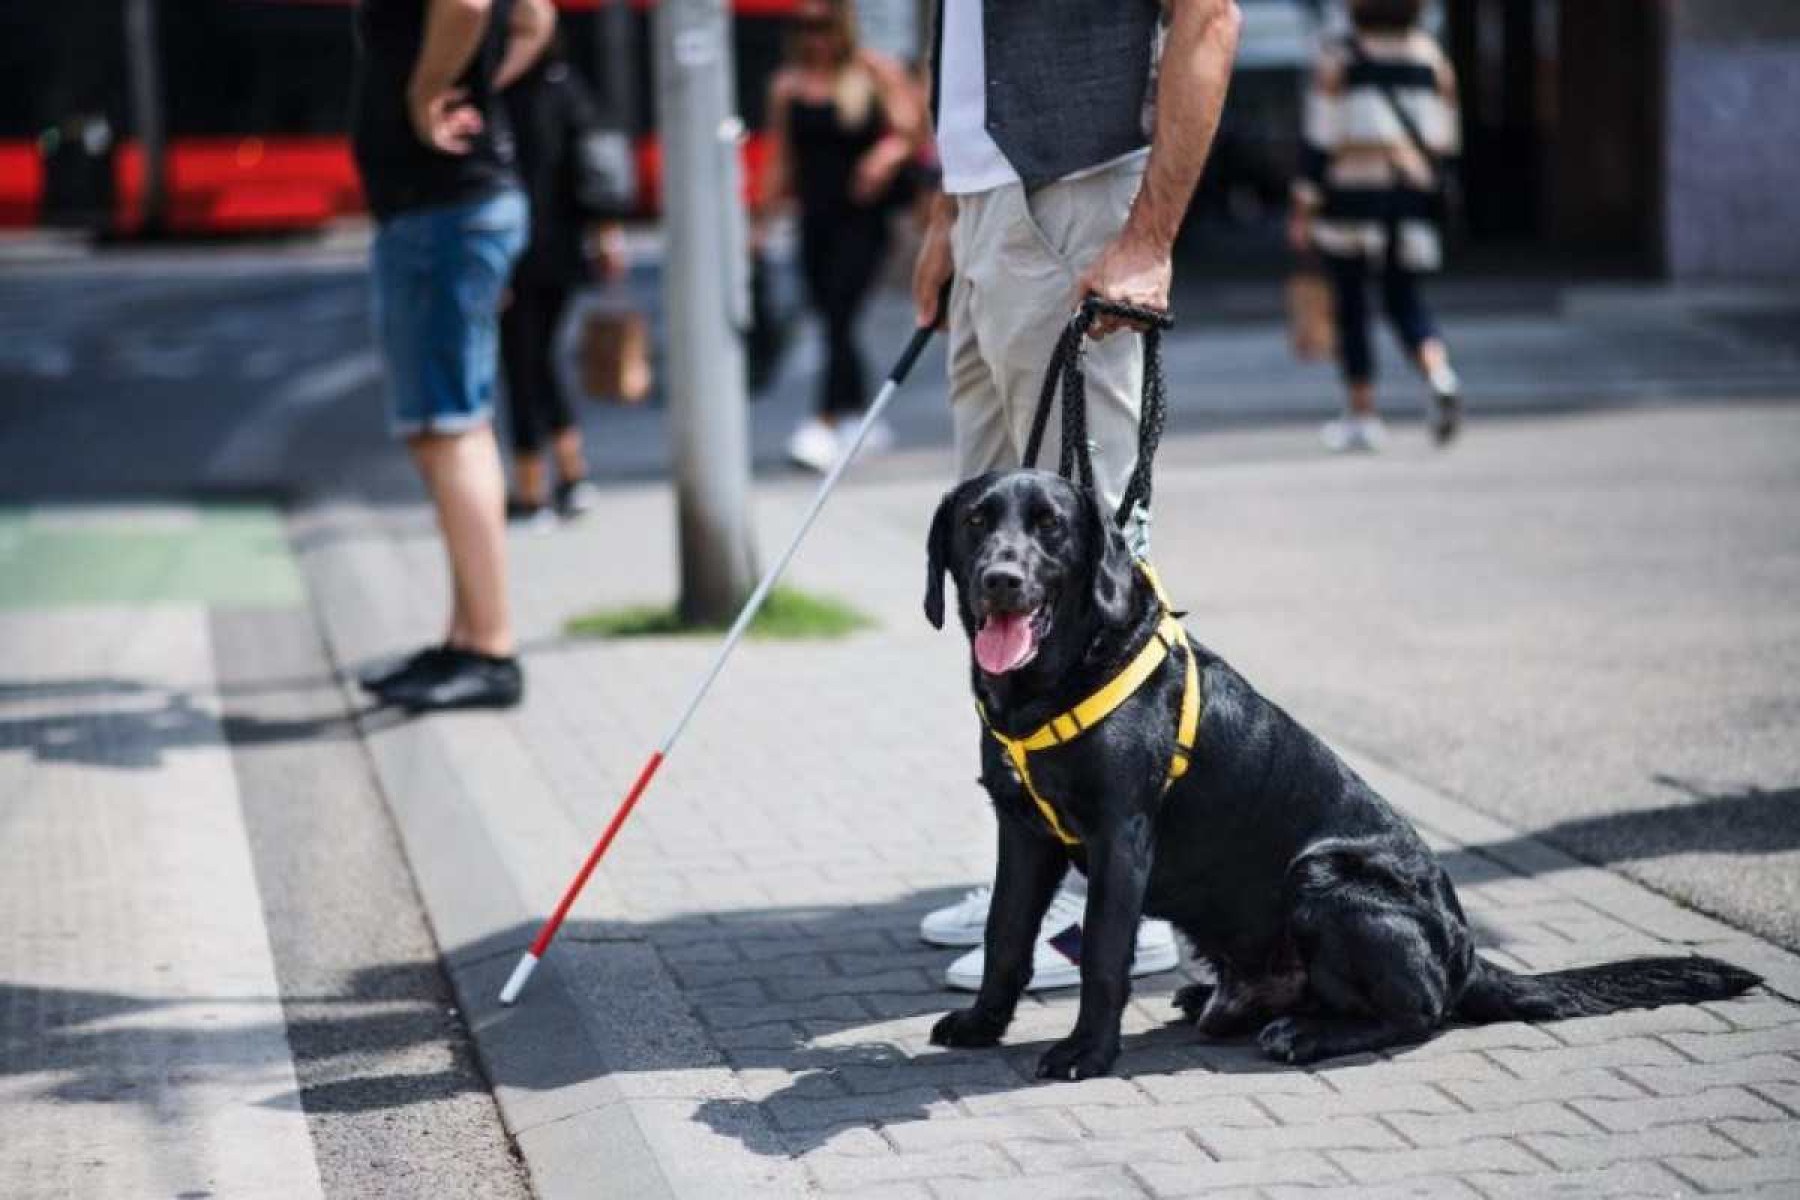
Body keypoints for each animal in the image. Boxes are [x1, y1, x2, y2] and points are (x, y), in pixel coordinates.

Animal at [928, 474, 1756, 1086]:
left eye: (1049, 526)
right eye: (976, 520)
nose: (1000, 580)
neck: (1056, 682)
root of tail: (1467, 955)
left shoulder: (1120, 838)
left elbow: (1103, 953)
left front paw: (1086, 1053)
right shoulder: (1022, 831)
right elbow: (1005, 935)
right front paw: (981, 1024)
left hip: (1324, 877)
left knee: (1421, 1012)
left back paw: (1305, 1033)